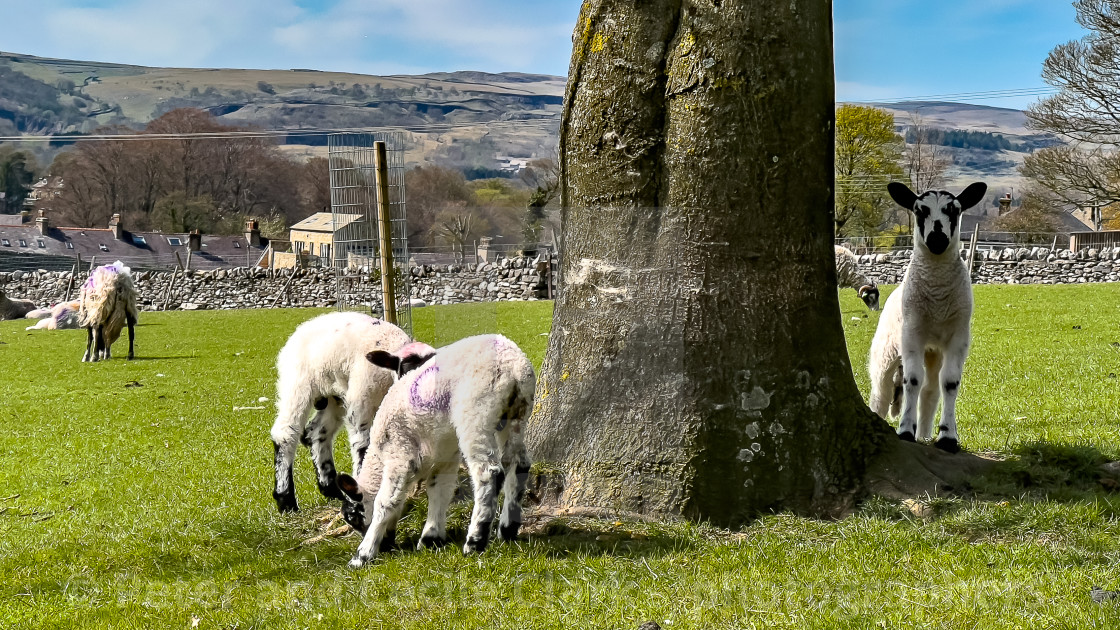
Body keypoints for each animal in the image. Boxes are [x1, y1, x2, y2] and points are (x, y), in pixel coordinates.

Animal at [268, 311, 430, 513]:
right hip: (298, 384)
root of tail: (301, 329)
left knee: (316, 433)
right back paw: (286, 499)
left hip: (334, 395)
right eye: (406, 369)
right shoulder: (362, 400)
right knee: (285, 434)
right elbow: (363, 444)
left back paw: (330, 488)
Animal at [333, 331, 535, 567]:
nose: (385, 547)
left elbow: (385, 502)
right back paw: (507, 529)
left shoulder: (400, 452)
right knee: (520, 464)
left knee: (489, 473)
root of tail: (513, 364)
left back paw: (475, 542)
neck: (379, 456)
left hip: (475, 413)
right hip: (517, 415)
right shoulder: (444, 458)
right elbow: (439, 492)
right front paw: (431, 538)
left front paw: (363, 554)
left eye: (353, 517)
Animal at [864, 181, 990, 450]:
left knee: (930, 389)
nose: (937, 239)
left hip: (934, 352)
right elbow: (912, 380)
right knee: (881, 392)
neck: (937, 295)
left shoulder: (958, 337)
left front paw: (948, 437)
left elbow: (949, 383)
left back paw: (923, 434)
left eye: (954, 210)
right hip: (887, 351)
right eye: (919, 210)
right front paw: (905, 431)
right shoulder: (913, 333)